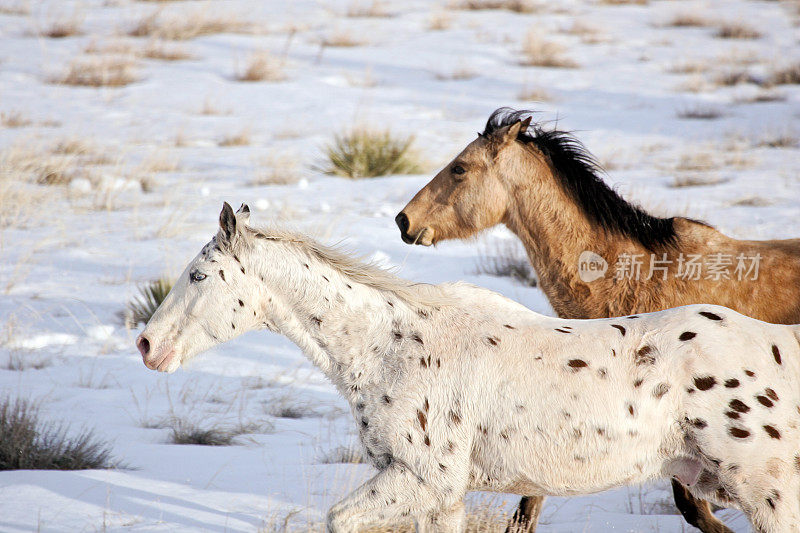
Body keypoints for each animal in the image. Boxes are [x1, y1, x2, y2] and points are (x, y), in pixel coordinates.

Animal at [139, 203, 800, 532]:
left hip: (769, 497)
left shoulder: (421, 482)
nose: (146, 344)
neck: (388, 348)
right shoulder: (442, 498)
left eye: (199, 275)